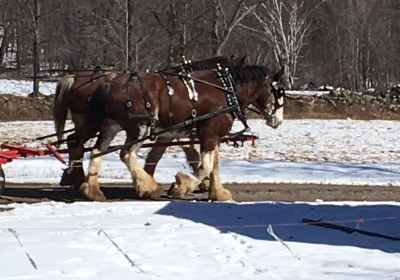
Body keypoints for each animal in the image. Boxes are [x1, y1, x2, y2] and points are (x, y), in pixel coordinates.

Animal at [80, 63, 284, 201]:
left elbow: (215, 165)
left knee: (97, 151)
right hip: (140, 127)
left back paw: (93, 191)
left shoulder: (211, 136)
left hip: (110, 126)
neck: (227, 91)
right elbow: (206, 166)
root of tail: (111, 84)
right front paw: (181, 187)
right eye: (280, 91)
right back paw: (150, 187)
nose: (278, 120)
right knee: (127, 153)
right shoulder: (209, 134)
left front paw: (218, 193)